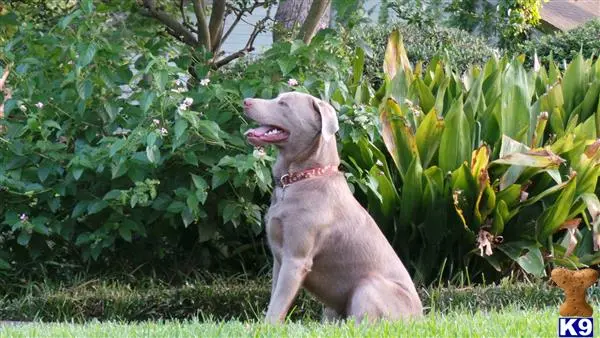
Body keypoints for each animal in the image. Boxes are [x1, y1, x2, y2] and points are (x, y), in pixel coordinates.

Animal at [243, 91, 422, 324]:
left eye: (284, 104)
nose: (246, 101)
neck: (302, 177)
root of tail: (421, 317)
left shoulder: (295, 259)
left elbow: (276, 306)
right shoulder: (278, 258)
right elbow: (274, 298)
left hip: (368, 286)